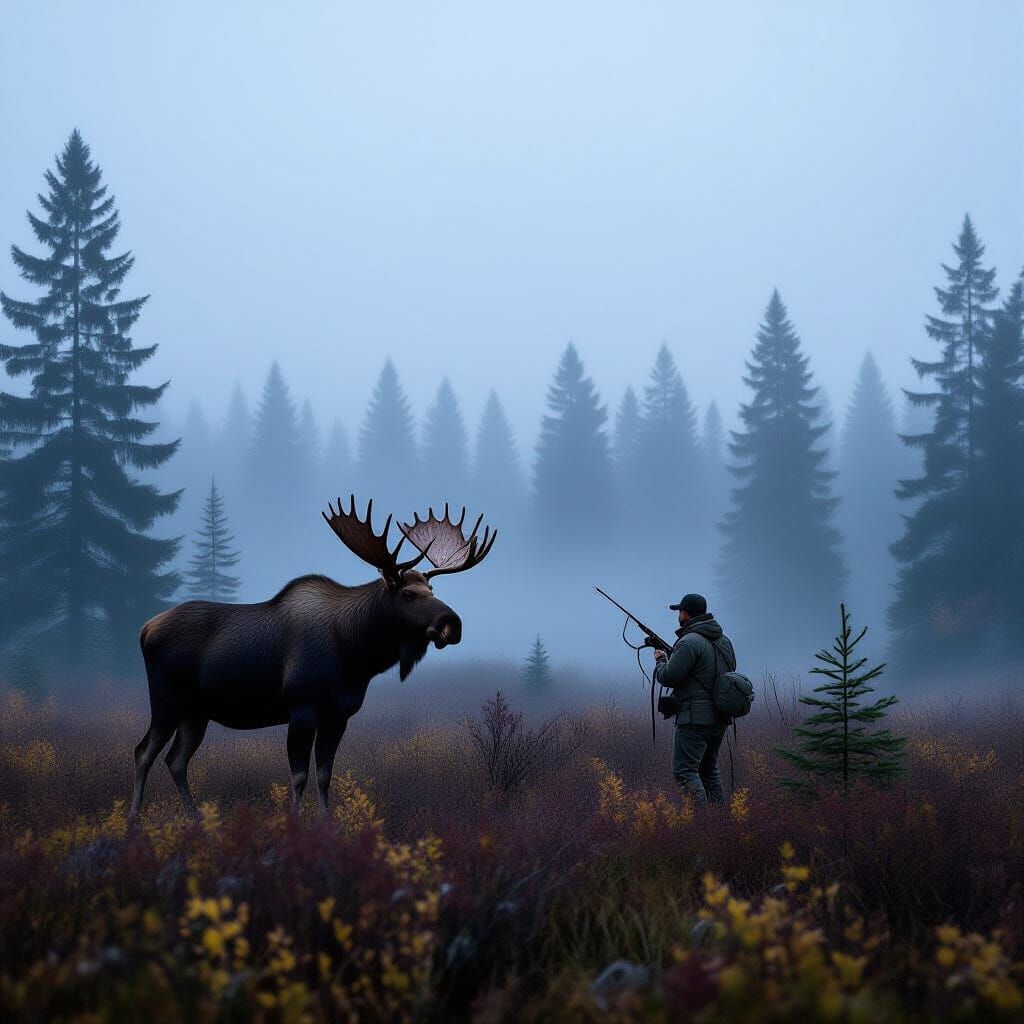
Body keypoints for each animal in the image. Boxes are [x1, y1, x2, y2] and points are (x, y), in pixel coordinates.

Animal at [129, 497, 497, 820]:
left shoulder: (339, 714)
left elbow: (323, 775)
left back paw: (194, 819)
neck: (356, 654)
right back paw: (134, 820)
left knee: (176, 759)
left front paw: (327, 824)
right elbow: (299, 776)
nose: (453, 624)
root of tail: (145, 629)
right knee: (144, 751)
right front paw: (295, 825)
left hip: (196, 711)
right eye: (407, 594)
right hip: (166, 700)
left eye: (432, 591)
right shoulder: (302, 707)